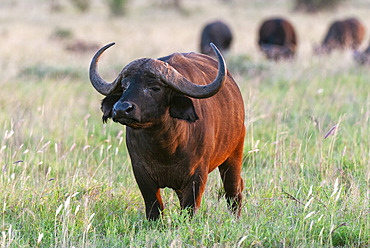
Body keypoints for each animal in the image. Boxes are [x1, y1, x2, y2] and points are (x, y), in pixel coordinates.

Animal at [89, 43, 246, 221]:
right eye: (124, 86)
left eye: (154, 87)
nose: (121, 109)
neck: (165, 147)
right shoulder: (141, 172)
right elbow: (154, 208)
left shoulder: (198, 175)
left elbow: (190, 208)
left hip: (234, 153)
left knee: (233, 190)